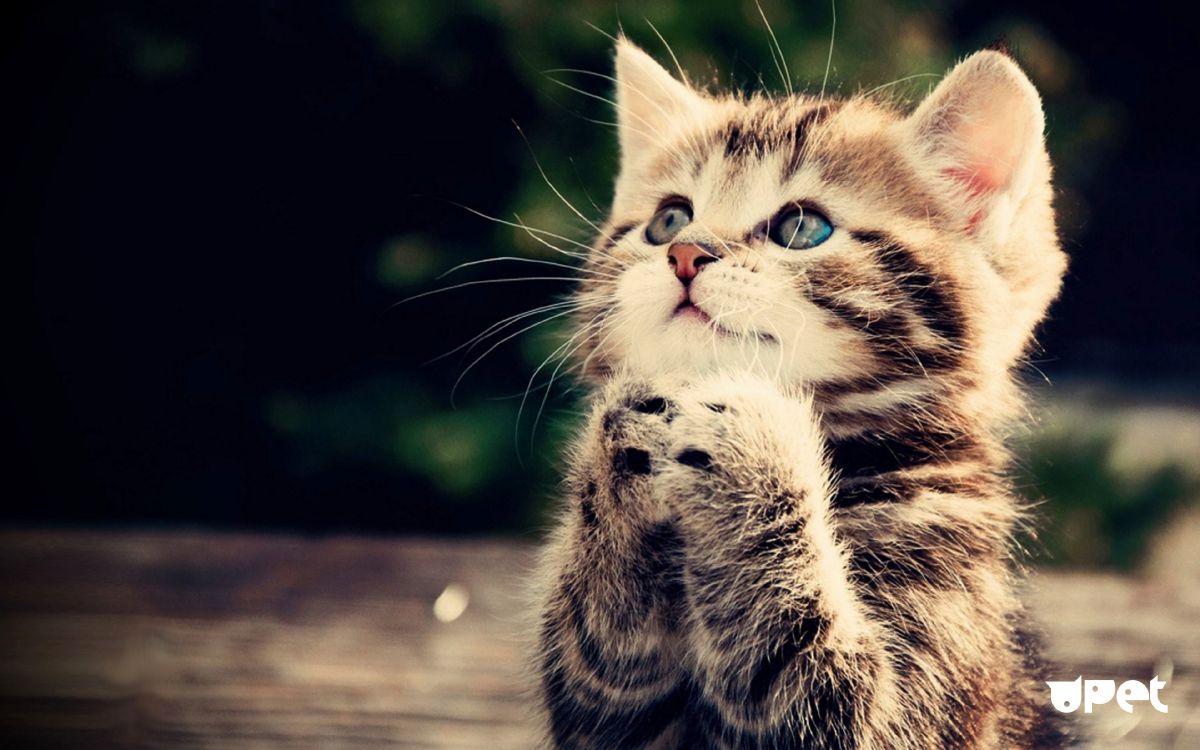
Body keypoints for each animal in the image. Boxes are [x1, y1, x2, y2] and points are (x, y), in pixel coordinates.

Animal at [535, 38, 1070, 744]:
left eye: (801, 229)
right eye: (668, 219)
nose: (684, 252)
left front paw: (752, 445)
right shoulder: (612, 718)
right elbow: (601, 660)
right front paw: (622, 452)